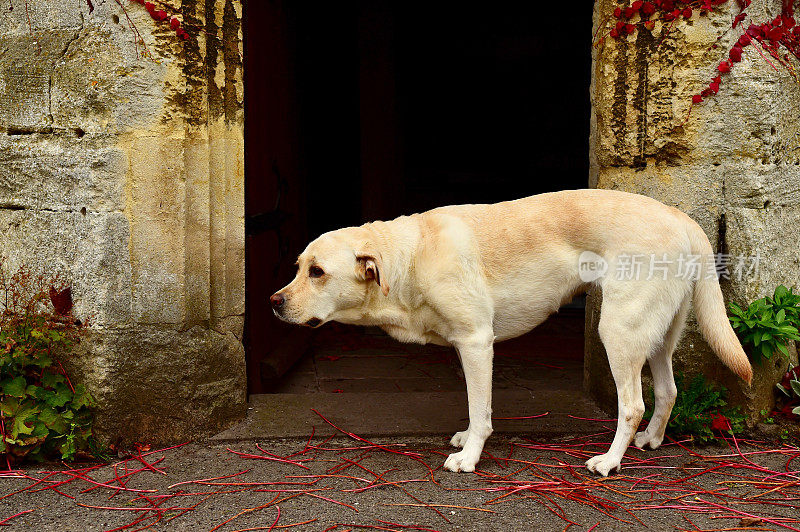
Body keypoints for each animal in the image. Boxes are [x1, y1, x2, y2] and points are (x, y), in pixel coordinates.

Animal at [272, 189, 752, 476]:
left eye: (317, 272)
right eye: (298, 267)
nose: (273, 302)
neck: (410, 257)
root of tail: (681, 217)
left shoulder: (475, 342)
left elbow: (481, 410)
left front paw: (469, 457)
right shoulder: (465, 347)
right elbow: (474, 406)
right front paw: (467, 439)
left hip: (618, 332)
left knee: (632, 405)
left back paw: (610, 461)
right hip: (655, 337)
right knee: (668, 391)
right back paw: (650, 440)